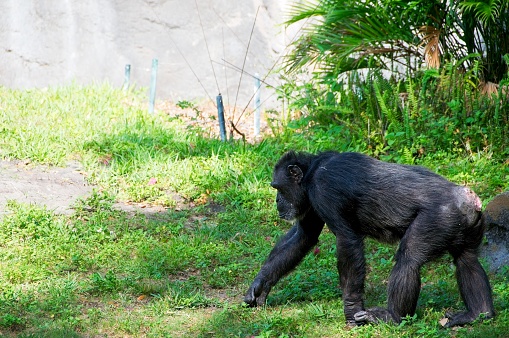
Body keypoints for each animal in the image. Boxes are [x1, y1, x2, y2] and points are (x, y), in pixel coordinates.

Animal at [244, 151, 494, 328]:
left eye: (278, 188)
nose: (277, 201)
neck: (313, 171)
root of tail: (471, 200)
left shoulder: (324, 189)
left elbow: (347, 242)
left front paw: (351, 311)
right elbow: (302, 237)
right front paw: (260, 286)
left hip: (439, 218)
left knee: (409, 259)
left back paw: (392, 316)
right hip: (464, 226)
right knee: (466, 261)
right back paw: (478, 313)